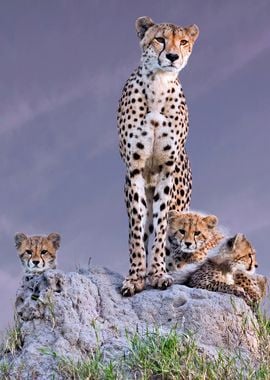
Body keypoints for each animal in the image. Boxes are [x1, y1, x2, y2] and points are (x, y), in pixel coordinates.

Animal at [117, 16, 199, 296]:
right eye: (160, 39)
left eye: (183, 41)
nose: (173, 56)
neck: (158, 86)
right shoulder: (134, 170)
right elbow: (136, 229)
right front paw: (135, 277)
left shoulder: (166, 171)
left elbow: (164, 226)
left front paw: (160, 274)